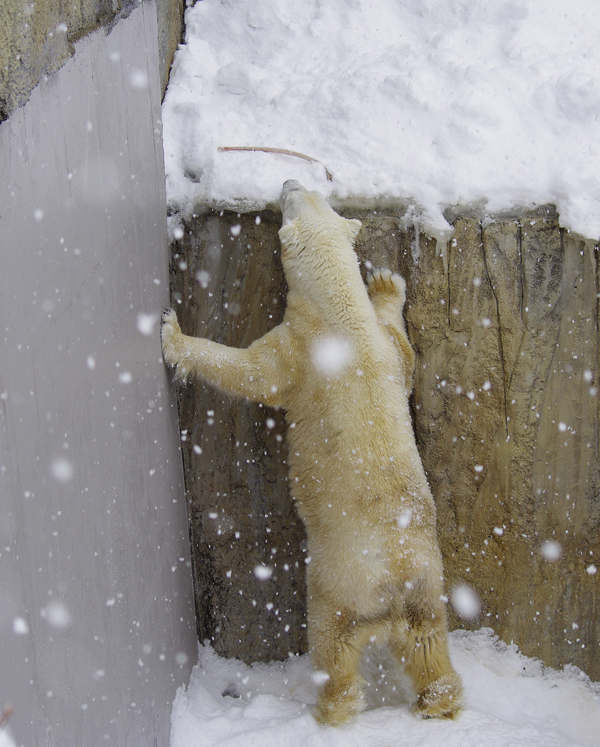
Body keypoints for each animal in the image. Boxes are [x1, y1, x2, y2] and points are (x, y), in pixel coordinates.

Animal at [161, 180, 464, 724]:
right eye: (313, 191)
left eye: (292, 198)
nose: (288, 181)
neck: (340, 312)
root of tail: (395, 589)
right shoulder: (384, 350)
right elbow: (405, 354)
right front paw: (386, 283)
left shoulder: (300, 351)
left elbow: (251, 372)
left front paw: (173, 333)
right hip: (431, 587)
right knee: (431, 646)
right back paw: (441, 699)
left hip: (337, 584)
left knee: (332, 643)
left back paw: (327, 709)